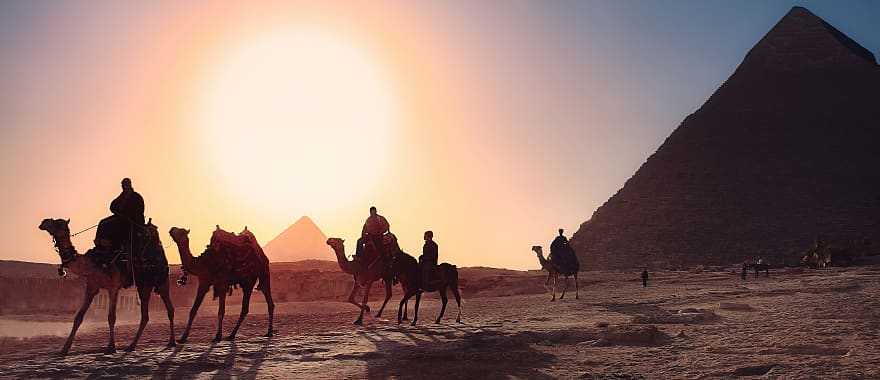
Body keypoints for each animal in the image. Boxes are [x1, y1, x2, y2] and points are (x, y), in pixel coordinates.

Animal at [37, 218, 175, 354]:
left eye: (58, 223)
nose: (43, 222)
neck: (94, 263)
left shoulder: (113, 287)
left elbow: (111, 317)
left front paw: (111, 347)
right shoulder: (91, 287)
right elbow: (78, 317)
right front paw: (65, 348)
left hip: (162, 281)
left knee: (170, 309)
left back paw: (171, 342)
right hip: (144, 285)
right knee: (145, 316)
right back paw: (131, 346)